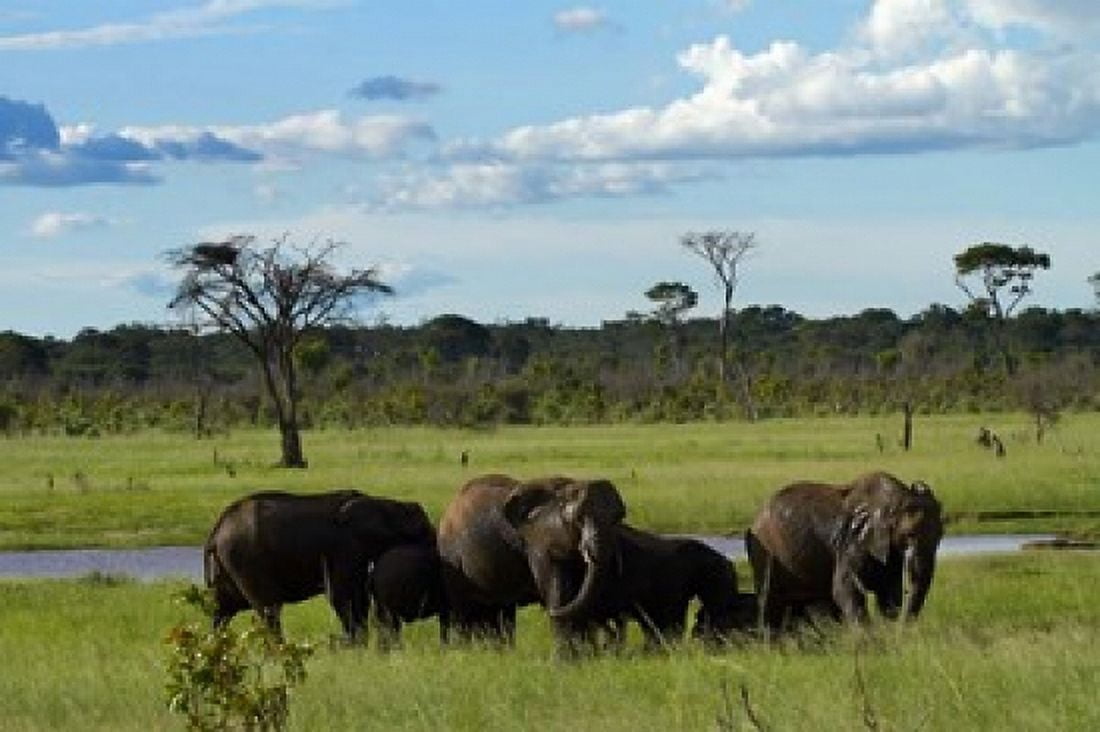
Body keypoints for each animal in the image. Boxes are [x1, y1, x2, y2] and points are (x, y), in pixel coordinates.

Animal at [204, 490, 435, 640]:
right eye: (423, 533)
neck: (387, 506)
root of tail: (215, 532)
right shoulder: (345, 549)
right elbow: (344, 596)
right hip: (245, 560)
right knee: (268, 609)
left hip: (228, 566)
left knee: (223, 609)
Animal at [436, 473, 627, 645]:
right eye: (578, 519)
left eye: (618, 518)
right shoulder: (537, 543)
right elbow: (560, 592)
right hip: (452, 559)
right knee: (464, 611)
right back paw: (468, 650)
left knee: (500, 613)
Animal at [746, 471, 943, 630]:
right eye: (909, 535)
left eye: (940, 536)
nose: (902, 630)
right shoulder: (850, 542)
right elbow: (844, 588)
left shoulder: (889, 551)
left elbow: (889, 593)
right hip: (764, 552)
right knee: (769, 599)